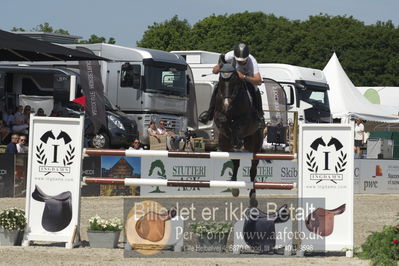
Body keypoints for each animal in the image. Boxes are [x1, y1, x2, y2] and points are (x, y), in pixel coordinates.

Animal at [214, 63, 264, 207]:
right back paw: (235, 188)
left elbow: (238, 123)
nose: (226, 105)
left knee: (253, 171)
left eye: (235, 82)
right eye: (220, 81)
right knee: (235, 164)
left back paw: (253, 198)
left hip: (255, 146)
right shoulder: (218, 115)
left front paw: (236, 136)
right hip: (225, 146)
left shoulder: (246, 119)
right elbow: (222, 120)